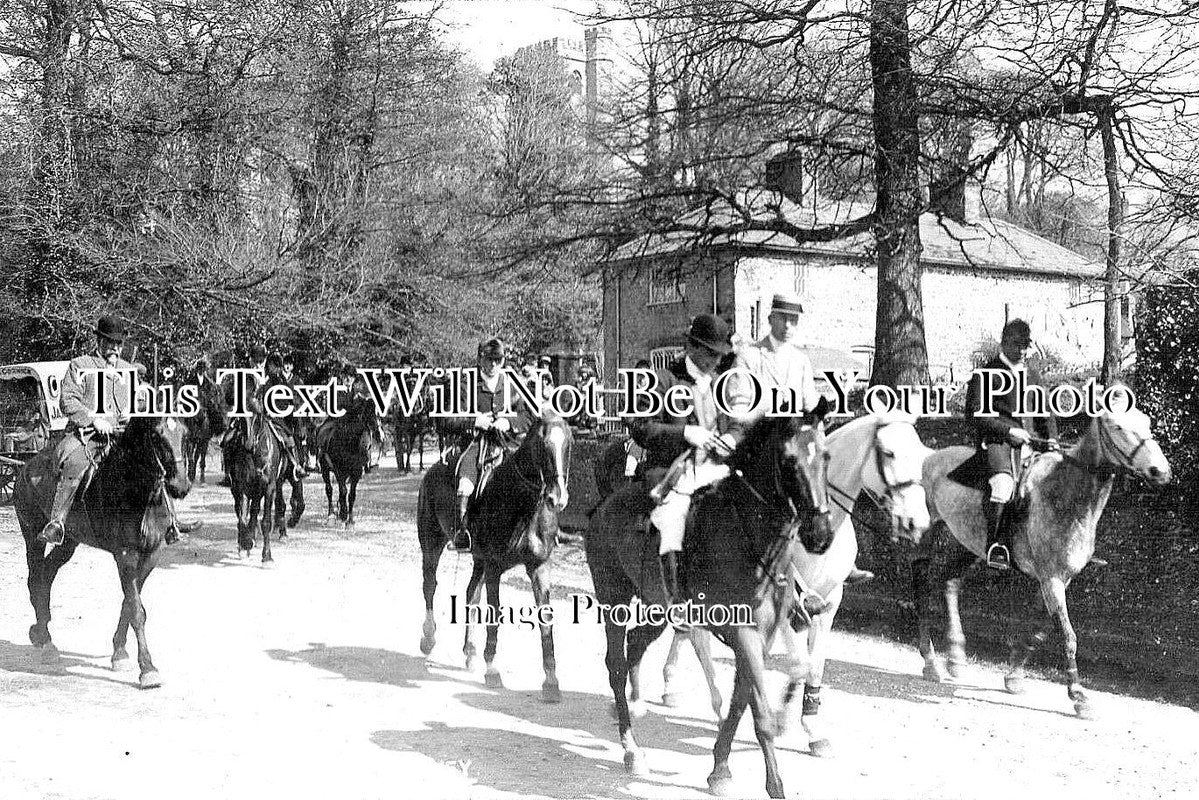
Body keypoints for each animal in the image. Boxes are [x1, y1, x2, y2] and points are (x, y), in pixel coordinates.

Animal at [12, 419, 190, 690]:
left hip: (69, 542)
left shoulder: (151, 556)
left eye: (185, 433)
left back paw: (40, 632)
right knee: (35, 579)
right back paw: (45, 640)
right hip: (32, 535)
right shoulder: (125, 556)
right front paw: (148, 669)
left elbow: (129, 603)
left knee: (47, 575)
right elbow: (137, 610)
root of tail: (25, 469)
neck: (136, 490)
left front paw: (120, 653)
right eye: (156, 435)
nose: (180, 485)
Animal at [221, 410, 286, 561]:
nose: (248, 443)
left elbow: (265, 522)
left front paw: (266, 556)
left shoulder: (269, 487)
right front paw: (246, 543)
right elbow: (241, 518)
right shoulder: (241, 487)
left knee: (255, 511)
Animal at [316, 395, 376, 532]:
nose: (366, 452)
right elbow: (343, 491)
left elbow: (351, 495)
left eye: (375, 414)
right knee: (329, 490)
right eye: (363, 415)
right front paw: (343, 514)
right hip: (325, 469)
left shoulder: (356, 472)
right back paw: (331, 516)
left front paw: (350, 521)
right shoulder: (339, 470)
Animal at [419, 412, 573, 700]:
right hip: (431, 545)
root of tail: (431, 471)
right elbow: (494, 614)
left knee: (471, 593)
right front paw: (492, 670)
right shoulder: (494, 567)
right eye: (541, 443)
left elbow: (545, 619)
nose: (557, 498)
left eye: (568, 443)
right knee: (430, 587)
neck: (520, 502)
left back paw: (470, 652)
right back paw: (428, 638)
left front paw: (551, 681)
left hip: (477, 559)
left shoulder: (538, 566)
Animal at [587, 410, 834, 796]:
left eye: (825, 457)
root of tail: (604, 506)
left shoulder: (762, 637)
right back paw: (632, 750)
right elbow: (759, 713)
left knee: (635, 644)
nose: (821, 533)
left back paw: (634, 704)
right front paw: (774, 784)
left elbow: (740, 701)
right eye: (789, 461)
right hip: (613, 598)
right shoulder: (742, 633)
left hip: (659, 608)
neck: (750, 538)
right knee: (615, 664)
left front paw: (720, 768)